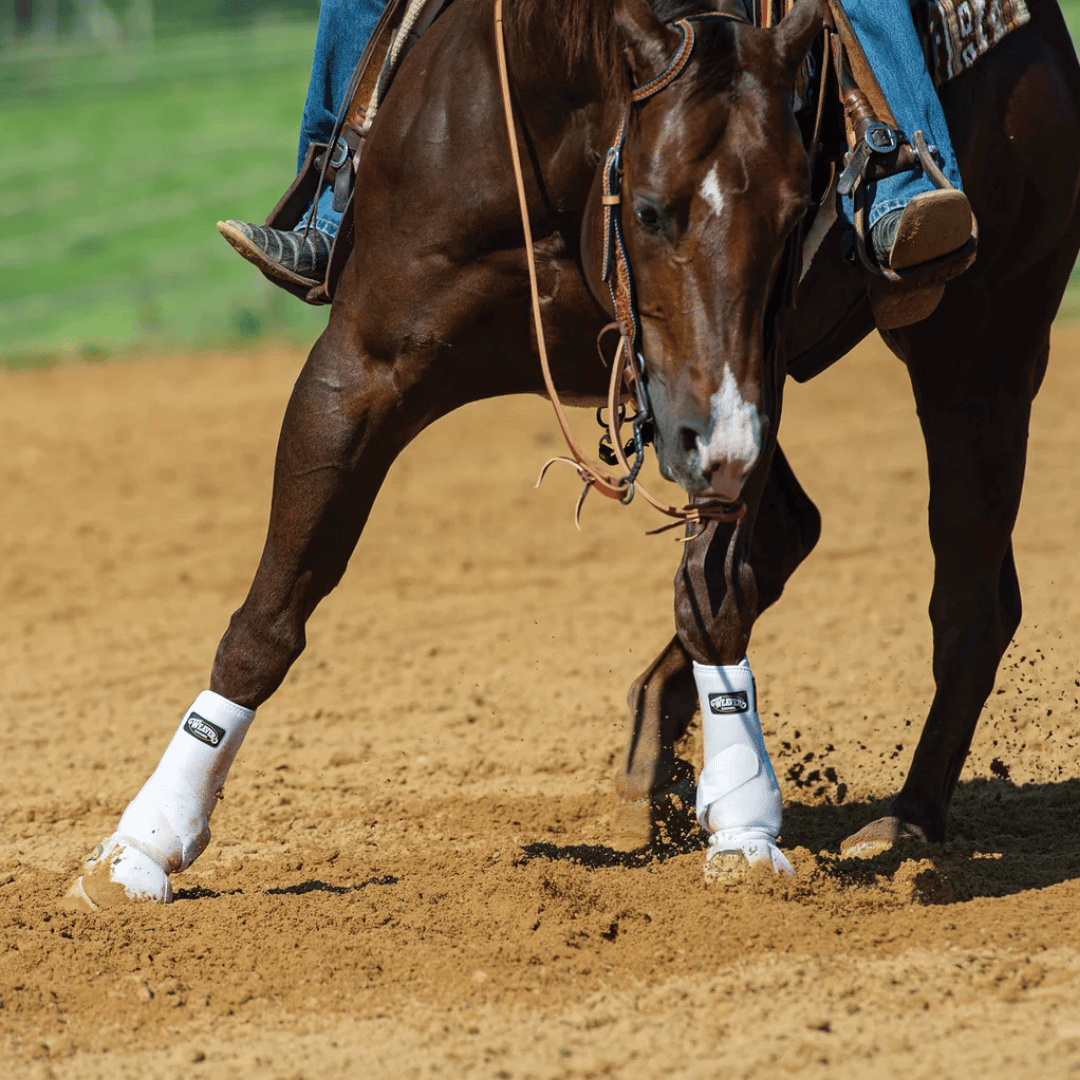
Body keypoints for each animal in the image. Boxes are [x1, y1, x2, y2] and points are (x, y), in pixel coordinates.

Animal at [201, 0, 1079, 870]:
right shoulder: (362, 365)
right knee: (802, 536)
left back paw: (905, 819)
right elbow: (273, 611)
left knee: (969, 600)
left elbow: (716, 593)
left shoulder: (744, 392)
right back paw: (656, 750)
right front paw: (166, 843)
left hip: (981, 345)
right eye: (651, 209)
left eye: (797, 214)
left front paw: (747, 832)